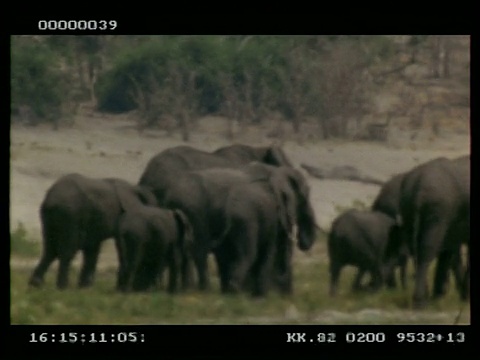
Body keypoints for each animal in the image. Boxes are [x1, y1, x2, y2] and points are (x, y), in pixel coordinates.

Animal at [28, 173, 157, 288]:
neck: (134, 188)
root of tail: (50, 200)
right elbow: (118, 245)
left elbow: (92, 248)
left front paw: (85, 286)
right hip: (70, 215)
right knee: (67, 250)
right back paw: (62, 287)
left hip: (49, 218)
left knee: (50, 250)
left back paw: (36, 284)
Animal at [159, 163, 318, 296]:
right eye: (304, 197)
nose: (302, 243)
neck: (277, 171)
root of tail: (169, 195)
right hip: (194, 212)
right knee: (200, 253)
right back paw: (205, 291)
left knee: (186, 255)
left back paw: (187, 291)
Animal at [396, 156, 470, 308]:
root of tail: (418, 186)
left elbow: (448, 251)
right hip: (437, 208)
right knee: (427, 250)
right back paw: (421, 302)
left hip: (407, 207)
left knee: (416, 249)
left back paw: (429, 297)